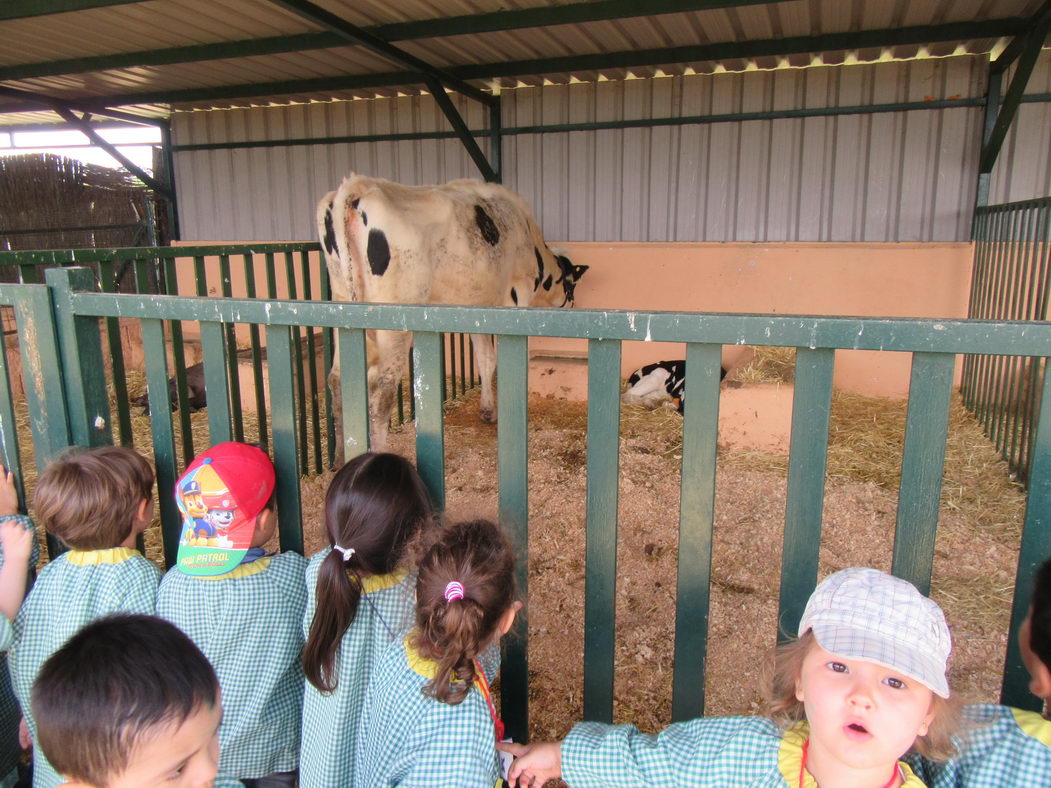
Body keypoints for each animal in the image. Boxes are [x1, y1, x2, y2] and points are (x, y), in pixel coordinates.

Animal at [315, 175, 588, 453]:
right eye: (572, 284)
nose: (573, 304)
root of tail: (357, 185)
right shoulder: (516, 296)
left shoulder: (478, 307)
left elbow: (486, 359)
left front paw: (488, 411)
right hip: (393, 318)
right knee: (383, 387)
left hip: (341, 303)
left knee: (338, 379)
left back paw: (339, 455)